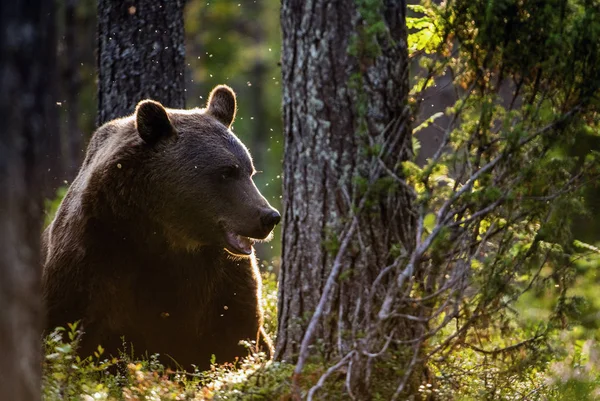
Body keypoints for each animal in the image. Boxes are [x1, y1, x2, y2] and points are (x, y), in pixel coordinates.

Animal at [42, 86, 282, 370]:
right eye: (226, 173)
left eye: (249, 171)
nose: (269, 216)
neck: (164, 235)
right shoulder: (98, 250)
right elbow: (74, 325)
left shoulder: (221, 275)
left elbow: (236, 331)